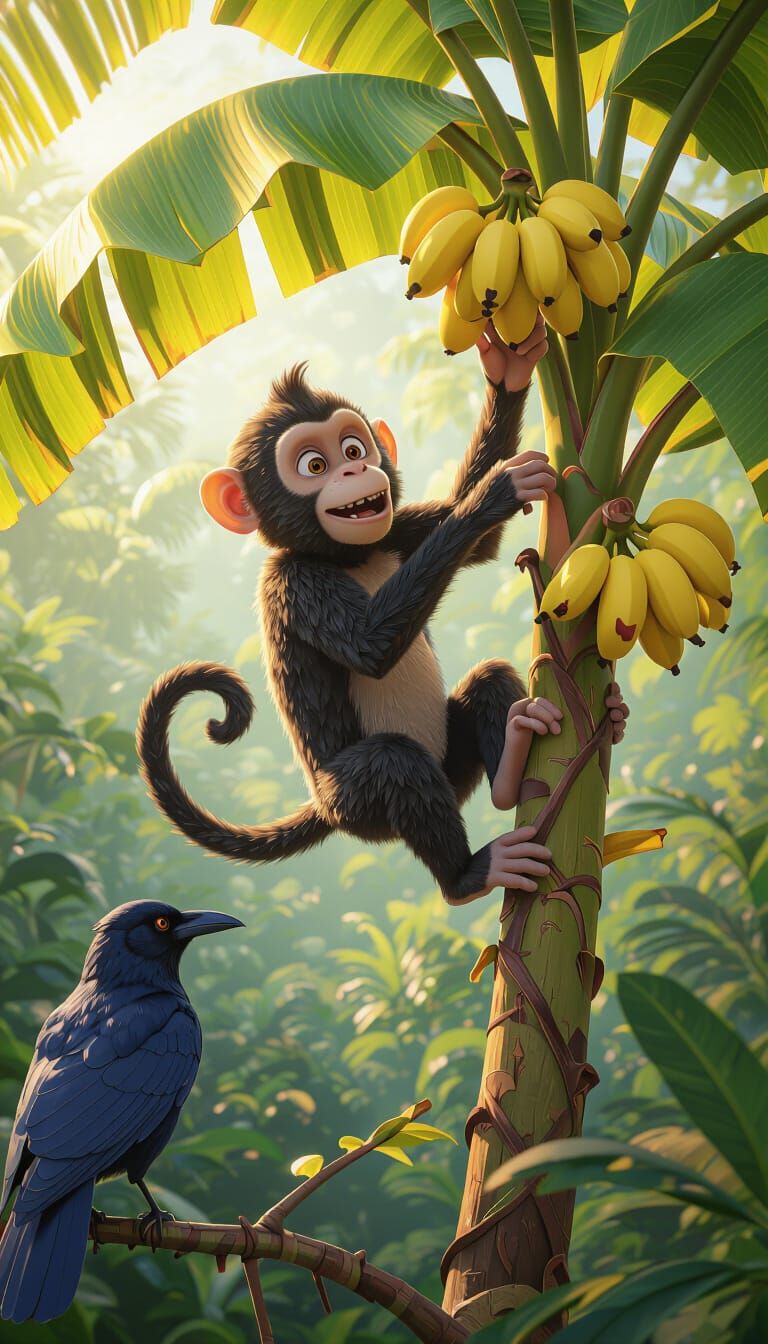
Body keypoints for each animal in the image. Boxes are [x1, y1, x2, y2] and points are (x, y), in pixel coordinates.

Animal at [138, 322, 577, 905]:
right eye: (314, 465)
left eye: (354, 445)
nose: (355, 467)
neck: (347, 556)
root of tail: (323, 808)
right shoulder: (294, 583)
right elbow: (371, 647)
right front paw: (497, 490)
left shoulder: (397, 531)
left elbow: (475, 544)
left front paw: (509, 367)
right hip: (356, 801)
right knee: (394, 761)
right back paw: (467, 876)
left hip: (450, 766)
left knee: (488, 681)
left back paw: (512, 761)